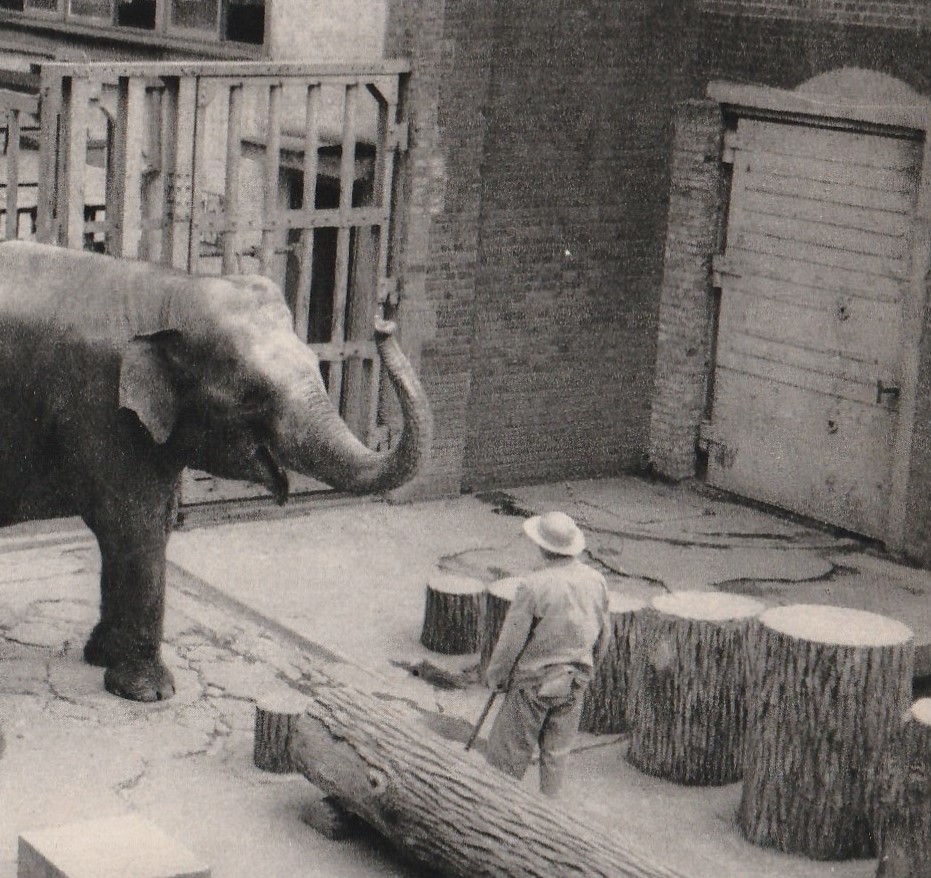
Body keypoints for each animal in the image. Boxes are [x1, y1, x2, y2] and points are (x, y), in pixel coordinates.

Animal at [0, 239, 434, 700]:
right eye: (251, 395)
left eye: (315, 364)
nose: (383, 323)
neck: (171, 292)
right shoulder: (102, 408)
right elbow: (133, 526)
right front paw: (149, 694)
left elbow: (153, 523)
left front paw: (101, 657)